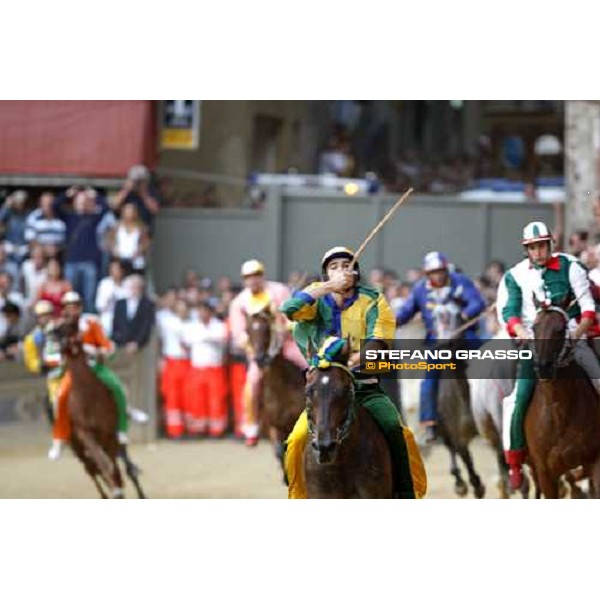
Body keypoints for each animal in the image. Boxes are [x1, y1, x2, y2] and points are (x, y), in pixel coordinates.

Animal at [54, 322, 148, 500]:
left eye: (70, 329)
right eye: (53, 332)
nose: (61, 346)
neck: (89, 396)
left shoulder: (110, 433)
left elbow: (115, 468)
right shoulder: (85, 433)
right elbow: (104, 465)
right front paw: (116, 490)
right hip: (77, 447)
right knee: (91, 470)